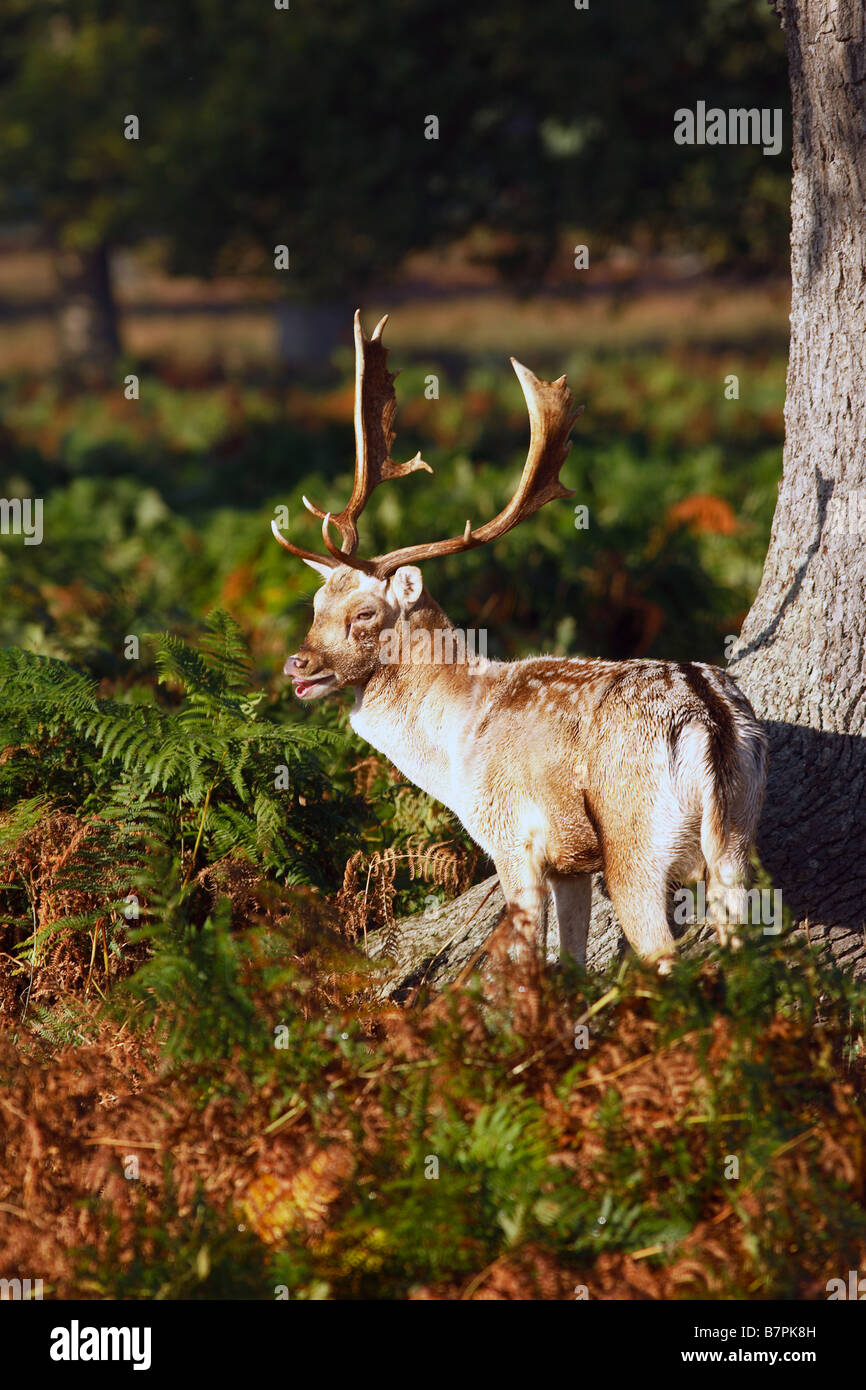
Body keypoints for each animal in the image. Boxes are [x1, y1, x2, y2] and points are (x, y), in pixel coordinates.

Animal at [273, 309, 767, 973]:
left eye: (365, 614)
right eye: (316, 605)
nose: (297, 663)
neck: (456, 744)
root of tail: (709, 718)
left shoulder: (510, 836)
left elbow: (527, 951)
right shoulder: (570, 864)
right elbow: (573, 959)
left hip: (636, 837)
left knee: (661, 949)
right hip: (739, 830)